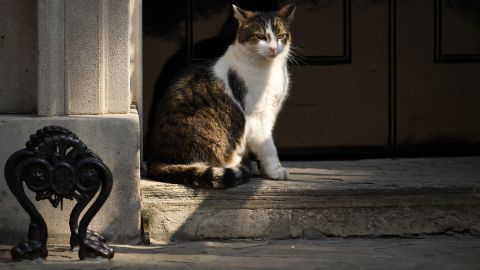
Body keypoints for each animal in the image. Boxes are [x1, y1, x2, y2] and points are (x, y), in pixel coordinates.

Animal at [147, 4, 296, 190]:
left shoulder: (272, 111)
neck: (270, 68)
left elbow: (263, 144)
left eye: (281, 36)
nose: (273, 48)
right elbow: (267, 145)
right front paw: (275, 170)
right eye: (260, 36)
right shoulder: (257, 116)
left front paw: (264, 169)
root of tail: (156, 160)